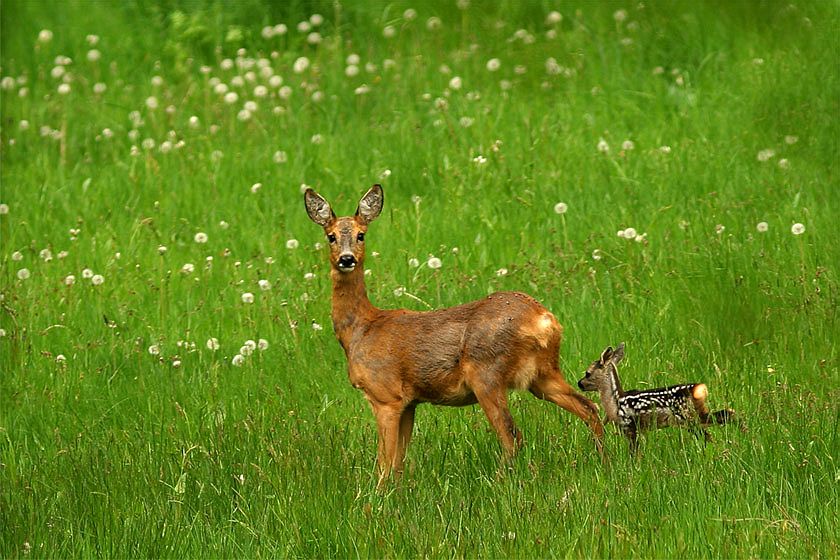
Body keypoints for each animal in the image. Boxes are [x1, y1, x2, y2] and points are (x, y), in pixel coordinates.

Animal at [306, 186, 600, 484]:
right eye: (331, 236)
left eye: (361, 234)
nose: (347, 259)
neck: (360, 330)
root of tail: (544, 320)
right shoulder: (410, 402)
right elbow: (399, 461)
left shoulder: (385, 395)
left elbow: (385, 462)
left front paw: (377, 493)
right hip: (543, 373)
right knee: (589, 408)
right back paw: (605, 461)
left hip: (487, 374)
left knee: (512, 436)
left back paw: (498, 481)